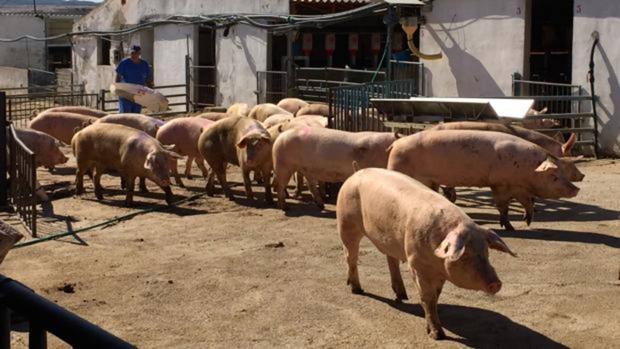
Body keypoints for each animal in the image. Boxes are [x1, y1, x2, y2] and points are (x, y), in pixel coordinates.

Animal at [336, 167, 516, 338]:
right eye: (465, 255)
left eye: (486, 252)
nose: (496, 283)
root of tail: (355, 173)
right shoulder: (417, 265)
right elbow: (427, 298)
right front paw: (438, 335)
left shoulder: (439, 272)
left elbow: (436, 295)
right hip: (346, 223)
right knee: (350, 256)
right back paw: (357, 290)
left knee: (390, 259)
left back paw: (402, 296)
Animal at [388, 129, 580, 230]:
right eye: (553, 176)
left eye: (563, 172)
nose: (576, 189)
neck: (528, 168)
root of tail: (396, 144)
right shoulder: (500, 184)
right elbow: (503, 206)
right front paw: (509, 227)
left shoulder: (518, 187)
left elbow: (527, 202)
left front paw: (527, 222)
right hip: (398, 168)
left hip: (429, 181)